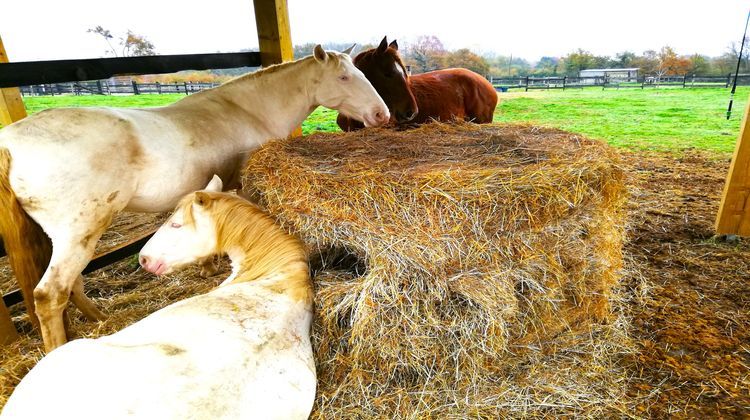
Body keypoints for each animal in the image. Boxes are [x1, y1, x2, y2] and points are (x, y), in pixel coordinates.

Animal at [0, 43, 388, 352]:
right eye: (344, 78)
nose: (381, 115)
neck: (246, 109)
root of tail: (10, 144)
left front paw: (206, 264)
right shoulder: (243, 185)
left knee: (72, 285)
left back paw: (98, 317)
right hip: (80, 232)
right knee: (50, 294)